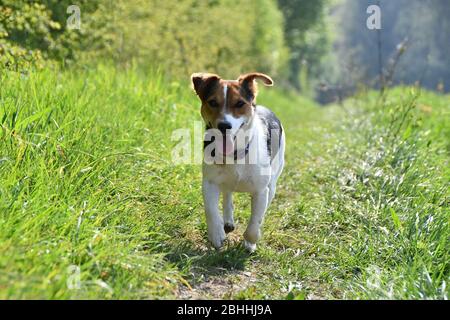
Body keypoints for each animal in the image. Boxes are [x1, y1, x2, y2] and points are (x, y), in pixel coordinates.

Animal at [190, 72, 284, 252]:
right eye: (213, 102)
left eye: (239, 103)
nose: (224, 125)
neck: (234, 154)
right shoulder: (210, 182)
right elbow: (211, 209)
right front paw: (216, 234)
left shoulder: (261, 190)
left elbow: (255, 222)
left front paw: (250, 241)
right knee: (227, 194)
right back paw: (227, 221)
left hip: (274, 179)